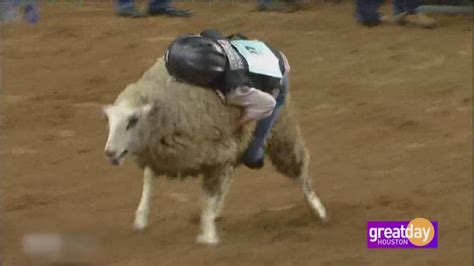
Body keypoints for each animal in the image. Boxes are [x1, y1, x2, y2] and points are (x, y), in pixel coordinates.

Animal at [102, 56, 328, 245]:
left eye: (133, 120)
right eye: (109, 122)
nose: (110, 152)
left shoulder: (214, 155)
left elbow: (208, 195)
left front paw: (208, 236)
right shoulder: (159, 154)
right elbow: (148, 184)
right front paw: (141, 218)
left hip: (281, 131)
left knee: (299, 171)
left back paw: (319, 209)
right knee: (228, 178)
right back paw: (217, 211)